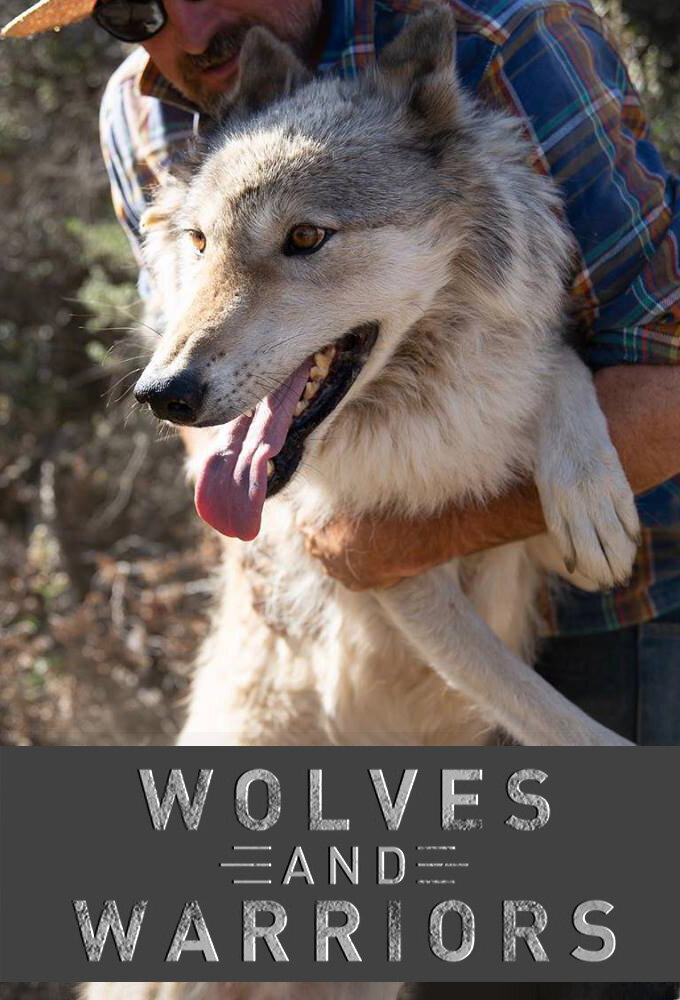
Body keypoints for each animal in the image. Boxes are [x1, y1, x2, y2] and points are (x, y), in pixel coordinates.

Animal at [84, 5, 638, 998]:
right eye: (199, 243)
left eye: (306, 239)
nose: (163, 394)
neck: (423, 403)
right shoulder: (392, 576)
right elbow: (548, 716)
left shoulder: (501, 545)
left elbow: (561, 371)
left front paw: (590, 495)